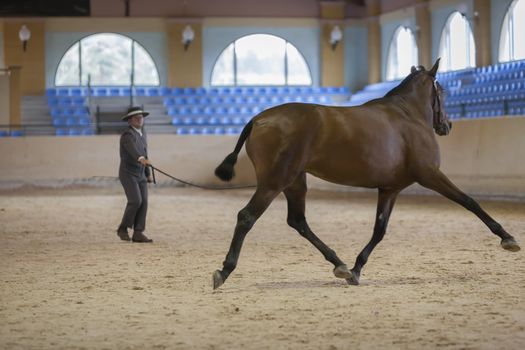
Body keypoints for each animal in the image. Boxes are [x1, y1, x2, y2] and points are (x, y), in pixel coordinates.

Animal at [211, 58, 516, 290]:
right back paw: (224, 271)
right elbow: (470, 202)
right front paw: (507, 239)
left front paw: (357, 270)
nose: (447, 126)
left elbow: (379, 230)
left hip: (295, 181)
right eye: (441, 91)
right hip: (276, 181)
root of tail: (257, 119)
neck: (408, 116)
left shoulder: (390, 188)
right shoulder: (430, 174)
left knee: (298, 221)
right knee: (247, 217)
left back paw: (341, 265)